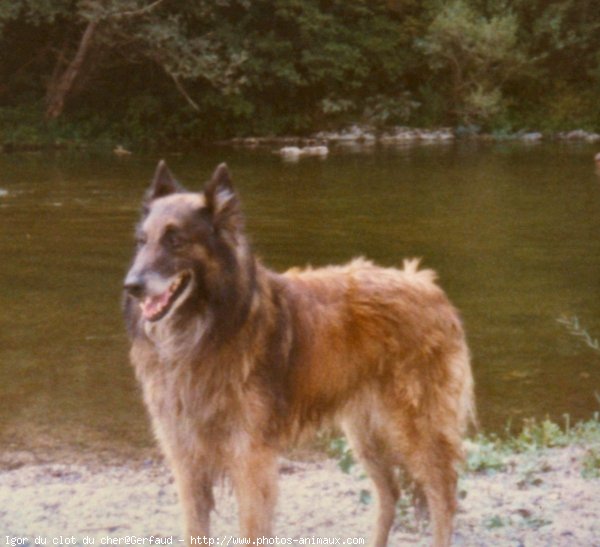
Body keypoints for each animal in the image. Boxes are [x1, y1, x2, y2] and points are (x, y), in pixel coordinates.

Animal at [124, 163, 476, 547]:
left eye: (176, 240)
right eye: (142, 241)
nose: (131, 286)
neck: (204, 329)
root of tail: (427, 284)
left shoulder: (251, 461)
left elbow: (252, 531)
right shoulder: (188, 462)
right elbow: (195, 532)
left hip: (416, 427)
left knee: (443, 494)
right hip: (366, 434)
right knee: (390, 493)